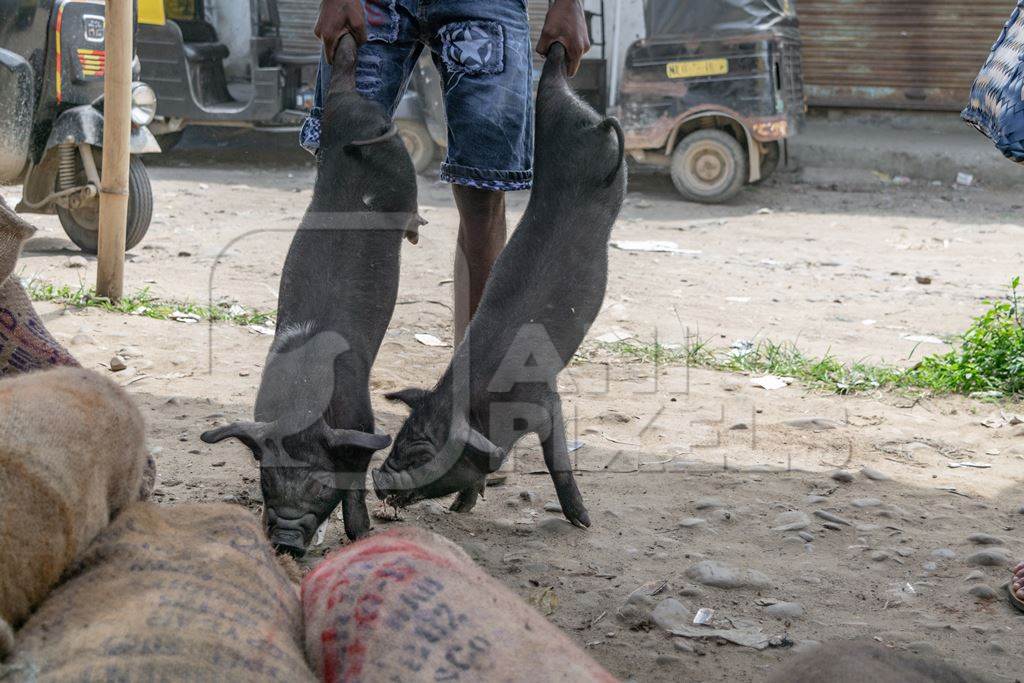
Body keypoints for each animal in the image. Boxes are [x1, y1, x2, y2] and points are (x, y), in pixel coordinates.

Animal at [201, 37, 421, 552]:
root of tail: (347, 102)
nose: (285, 539)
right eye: (267, 481)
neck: (303, 401)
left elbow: (357, 482)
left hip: (397, 162)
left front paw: (361, 534)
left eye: (322, 485)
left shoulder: (361, 423)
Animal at [372, 42, 626, 528]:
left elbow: (555, 460)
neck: (478, 404)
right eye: (400, 437)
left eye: (425, 455)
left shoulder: (546, 402)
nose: (378, 479)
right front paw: (462, 507)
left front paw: (582, 521)